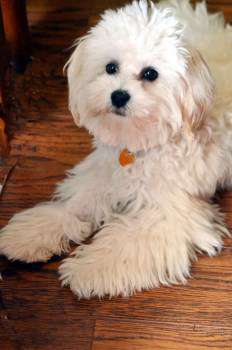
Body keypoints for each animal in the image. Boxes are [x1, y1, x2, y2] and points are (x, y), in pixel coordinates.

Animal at [0, 0, 232, 298]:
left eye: (150, 74)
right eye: (111, 67)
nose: (119, 95)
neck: (140, 144)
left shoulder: (170, 216)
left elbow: (125, 245)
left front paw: (86, 269)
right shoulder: (105, 175)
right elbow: (75, 205)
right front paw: (31, 233)